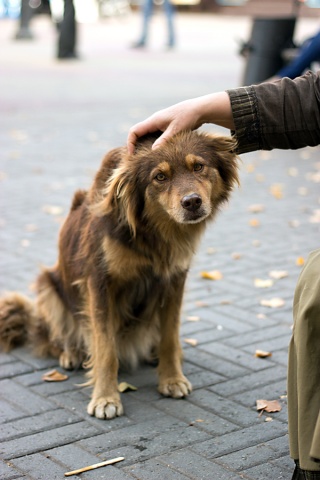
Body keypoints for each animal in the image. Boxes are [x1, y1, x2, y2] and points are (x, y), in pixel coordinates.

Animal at [0, 129, 238, 418]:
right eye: (160, 177)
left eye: (199, 166)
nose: (192, 202)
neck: (151, 234)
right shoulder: (100, 283)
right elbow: (105, 349)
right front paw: (105, 397)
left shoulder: (174, 281)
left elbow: (170, 337)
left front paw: (171, 379)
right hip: (49, 287)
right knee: (59, 334)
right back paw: (71, 353)